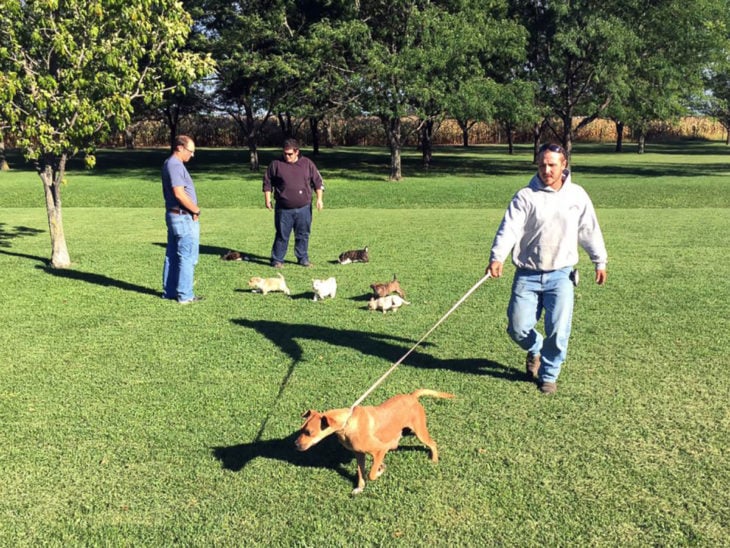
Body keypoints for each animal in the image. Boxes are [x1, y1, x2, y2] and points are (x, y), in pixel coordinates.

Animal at [292, 388, 452, 494]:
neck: (347, 423)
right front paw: (360, 488)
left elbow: (371, 474)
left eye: (309, 432)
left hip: (420, 432)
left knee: (432, 443)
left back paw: (434, 459)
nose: (296, 445)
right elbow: (361, 474)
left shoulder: (380, 449)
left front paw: (380, 470)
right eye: (302, 429)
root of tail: (412, 396)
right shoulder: (359, 454)